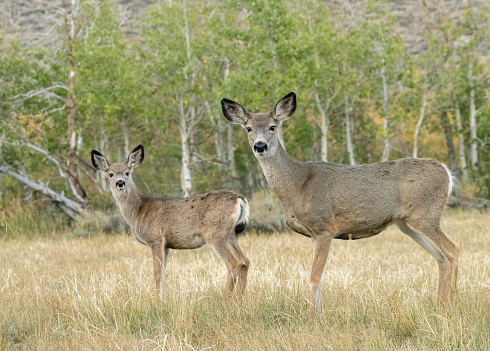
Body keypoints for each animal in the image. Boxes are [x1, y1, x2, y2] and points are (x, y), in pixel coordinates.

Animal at [91, 146, 251, 300]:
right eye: (110, 174)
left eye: (127, 172)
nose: (120, 182)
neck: (139, 211)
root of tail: (239, 199)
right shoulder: (167, 245)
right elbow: (162, 273)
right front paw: (160, 299)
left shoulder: (156, 239)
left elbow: (157, 273)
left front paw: (157, 302)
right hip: (231, 235)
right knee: (245, 261)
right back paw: (240, 298)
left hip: (216, 234)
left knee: (234, 263)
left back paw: (226, 300)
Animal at [222, 92, 460, 318]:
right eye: (248, 128)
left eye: (273, 127)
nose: (260, 146)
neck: (297, 185)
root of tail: (446, 172)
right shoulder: (313, 233)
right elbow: (319, 277)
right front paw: (318, 315)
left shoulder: (324, 227)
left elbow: (315, 277)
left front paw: (311, 319)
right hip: (407, 223)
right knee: (440, 256)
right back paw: (439, 305)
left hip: (426, 215)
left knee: (453, 250)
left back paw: (450, 306)